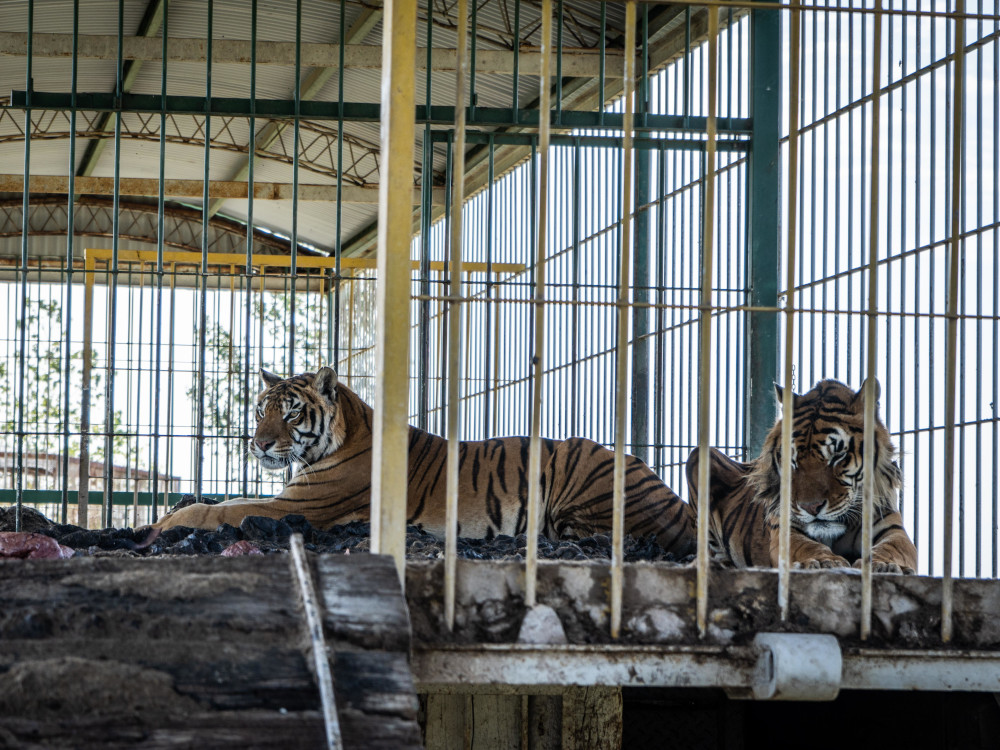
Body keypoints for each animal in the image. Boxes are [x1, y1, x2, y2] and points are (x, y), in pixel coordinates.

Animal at [148, 367, 697, 557]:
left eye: (291, 413)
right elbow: (224, 501)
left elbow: (221, 510)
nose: (259, 445)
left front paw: (162, 523)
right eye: (261, 410)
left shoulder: (295, 507)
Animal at [685, 378, 917, 574]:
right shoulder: (785, 529)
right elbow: (807, 546)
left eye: (838, 455)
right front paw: (824, 561)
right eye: (793, 460)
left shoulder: (892, 528)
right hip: (699, 456)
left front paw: (884, 565)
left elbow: (892, 548)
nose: (811, 507)